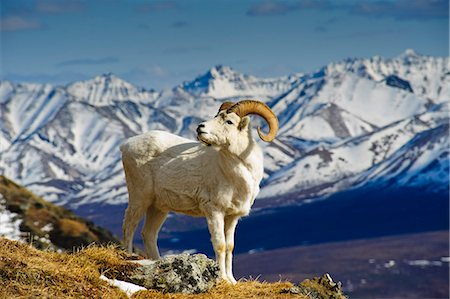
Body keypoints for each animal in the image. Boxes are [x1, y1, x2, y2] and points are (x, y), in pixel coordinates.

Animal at [121, 100, 280, 284]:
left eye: (229, 121)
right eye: (217, 116)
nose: (200, 127)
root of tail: (126, 145)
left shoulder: (232, 217)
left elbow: (230, 246)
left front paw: (232, 280)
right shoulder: (214, 212)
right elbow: (220, 245)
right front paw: (222, 279)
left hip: (158, 208)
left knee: (148, 234)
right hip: (140, 197)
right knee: (129, 226)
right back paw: (129, 257)